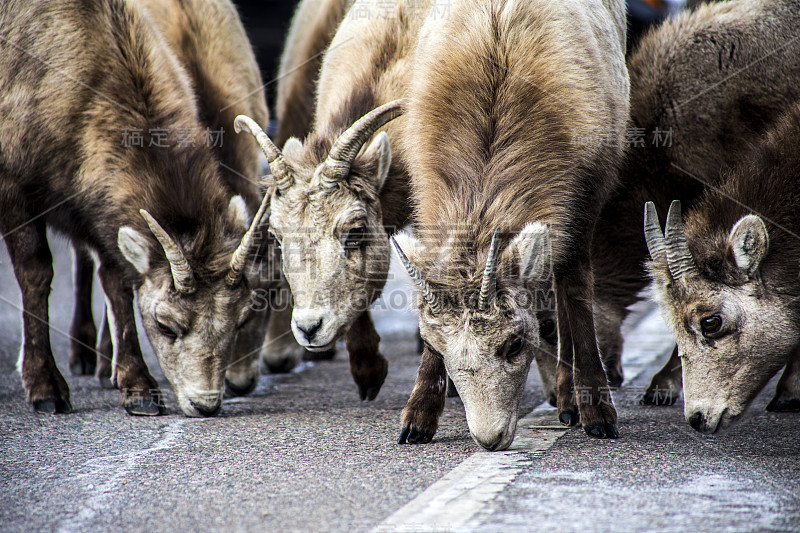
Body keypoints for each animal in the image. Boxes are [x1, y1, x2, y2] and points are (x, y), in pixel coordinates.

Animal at [0, 0, 276, 416]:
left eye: (241, 318)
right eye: (165, 324)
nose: (206, 403)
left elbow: (117, 282)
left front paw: (138, 390)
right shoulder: (13, 188)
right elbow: (36, 273)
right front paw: (46, 390)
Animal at [394, 0, 632, 448]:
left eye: (514, 343)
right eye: (439, 349)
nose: (491, 439)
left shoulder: (585, 198)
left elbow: (575, 294)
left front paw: (599, 416)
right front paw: (416, 422)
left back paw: (568, 405)